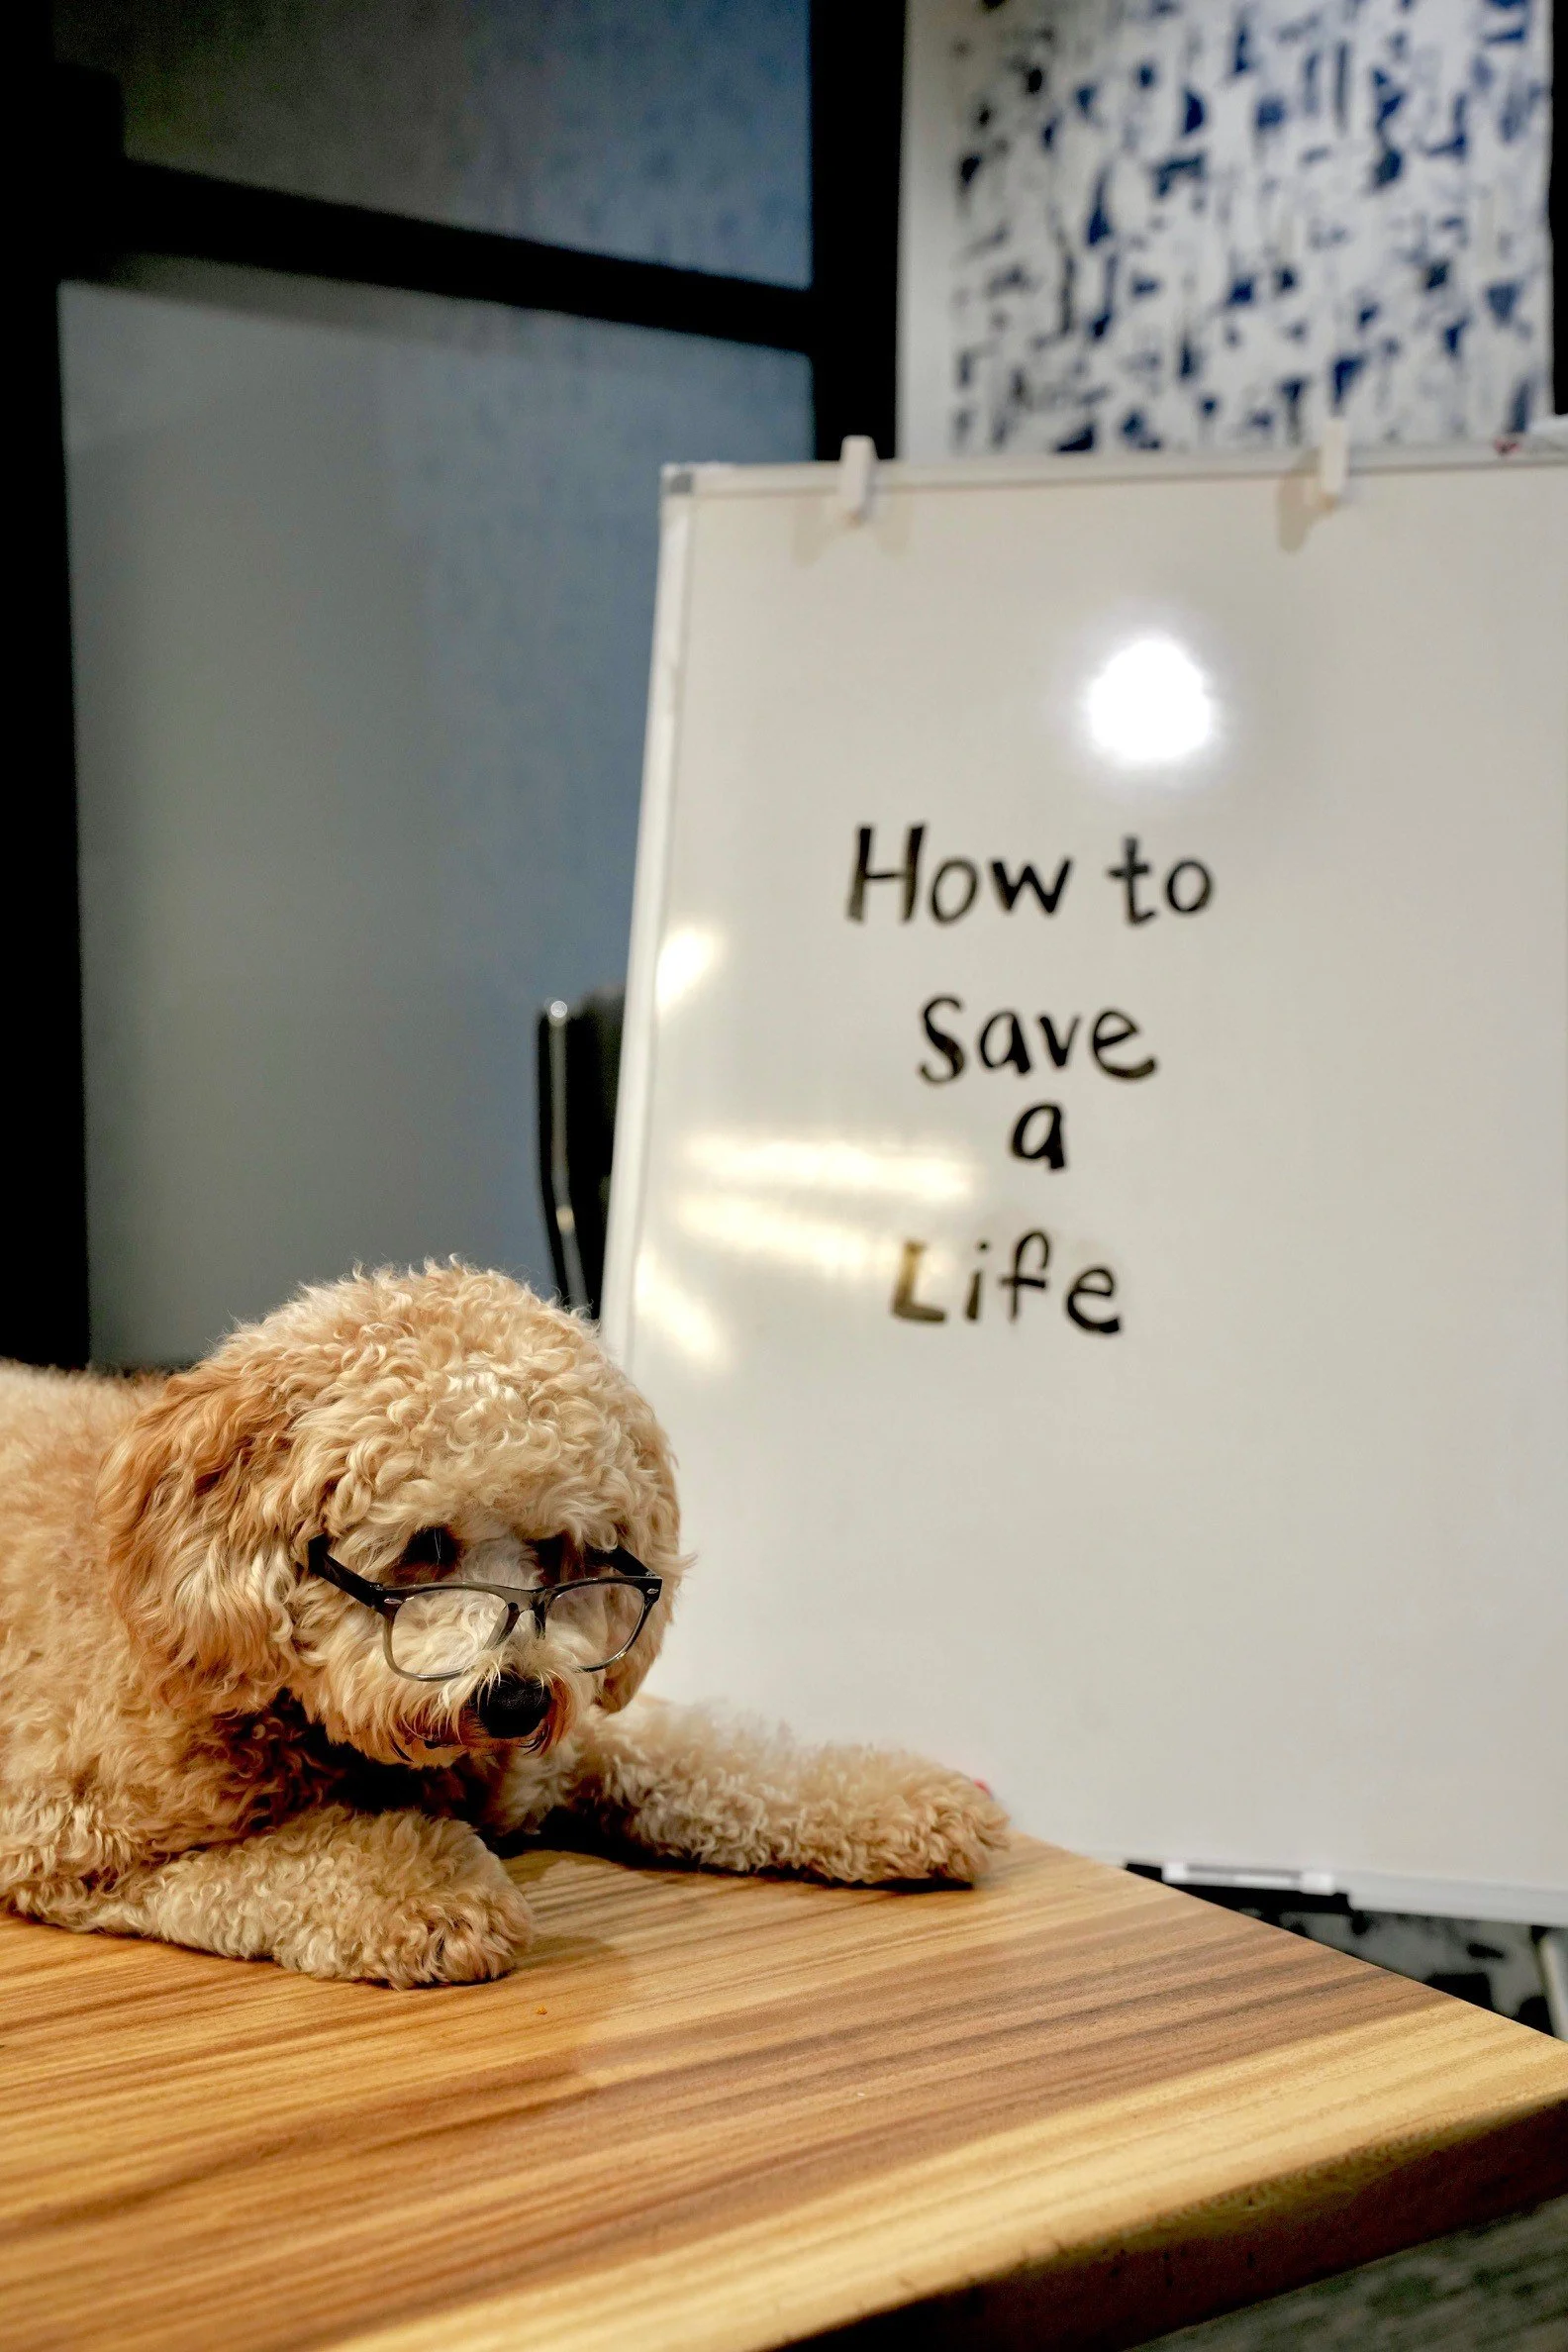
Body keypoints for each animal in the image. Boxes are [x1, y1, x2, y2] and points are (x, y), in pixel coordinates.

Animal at [0, 1264, 1007, 1985]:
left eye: (559, 1549)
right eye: (426, 1544)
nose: (518, 1702)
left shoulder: (566, 1752)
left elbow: (720, 1762)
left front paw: (908, 1802)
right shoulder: (61, 1836)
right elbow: (278, 1858)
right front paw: (431, 1892)